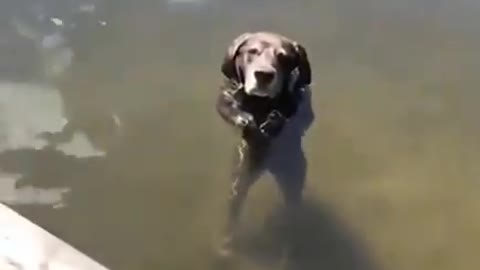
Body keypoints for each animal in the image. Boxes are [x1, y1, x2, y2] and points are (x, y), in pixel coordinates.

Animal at [216, 31, 314, 255]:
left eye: (284, 57)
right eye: (252, 52)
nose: (264, 74)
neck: (262, 103)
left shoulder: (303, 103)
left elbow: (298, 118)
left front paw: (274, 121)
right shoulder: (226, 93)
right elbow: (227, 107)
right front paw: (245, 119)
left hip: (293, 179)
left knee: (292, 211)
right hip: (240, 178)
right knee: (233, 213)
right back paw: (225, 248)